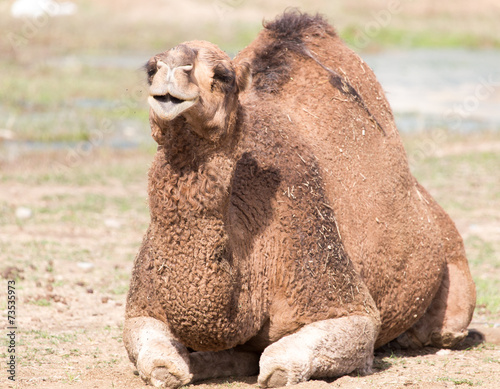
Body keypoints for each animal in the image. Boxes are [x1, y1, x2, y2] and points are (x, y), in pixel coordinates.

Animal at [123, 10, 474, 386]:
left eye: (223, 76)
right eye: (151, 69)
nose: (172, 69)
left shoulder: (336, 287)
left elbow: (280, 364)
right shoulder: (141, 308)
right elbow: (157, 359)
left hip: (454, 272)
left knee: (446, 327)